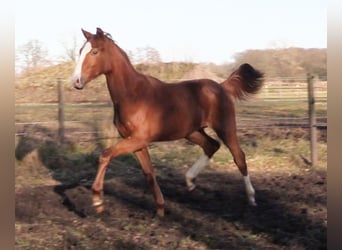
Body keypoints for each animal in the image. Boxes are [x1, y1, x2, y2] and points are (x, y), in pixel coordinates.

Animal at [72, 26, 264, 215]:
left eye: (94, 52)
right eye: (81, 51)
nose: (76, 81)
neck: (133, 95)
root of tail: (222, 86)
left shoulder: (138, 139)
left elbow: (105, 155)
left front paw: (97, 200)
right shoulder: (136, 142)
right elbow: (149, 173)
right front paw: (160, 209)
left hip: (225, 127)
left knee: (239, 157)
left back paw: (252, 198)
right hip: (192, 132)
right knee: (211, 145)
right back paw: (190, 181)